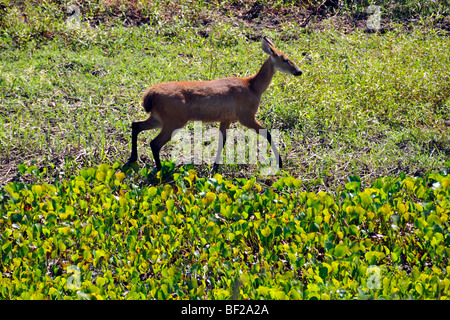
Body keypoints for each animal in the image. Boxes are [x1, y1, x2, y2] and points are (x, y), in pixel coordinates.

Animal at [122, 36, 302, 172]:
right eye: (285, 59)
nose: (298, 71)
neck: (253, 87)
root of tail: (148, 96)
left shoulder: (227, 118)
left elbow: (222, 141)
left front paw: (215, 167)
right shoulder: (246, 115)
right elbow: (268, 133)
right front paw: (280, 163)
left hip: (160, 118)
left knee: (136, 125)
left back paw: (132, 159)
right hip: (174, 120)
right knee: (154, 143)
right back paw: (159, 170)